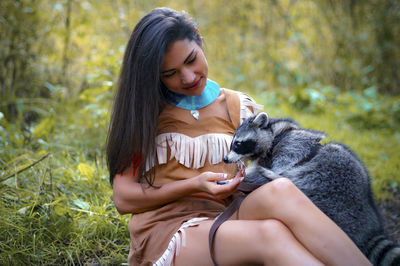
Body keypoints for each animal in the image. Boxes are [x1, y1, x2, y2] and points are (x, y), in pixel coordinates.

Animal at [225, 112, 400, 266]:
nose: (225, 159)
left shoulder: (291, 148)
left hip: (326, 184)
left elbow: (275, 169)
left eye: (238, 143)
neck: (275, 134)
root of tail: (369, 226)